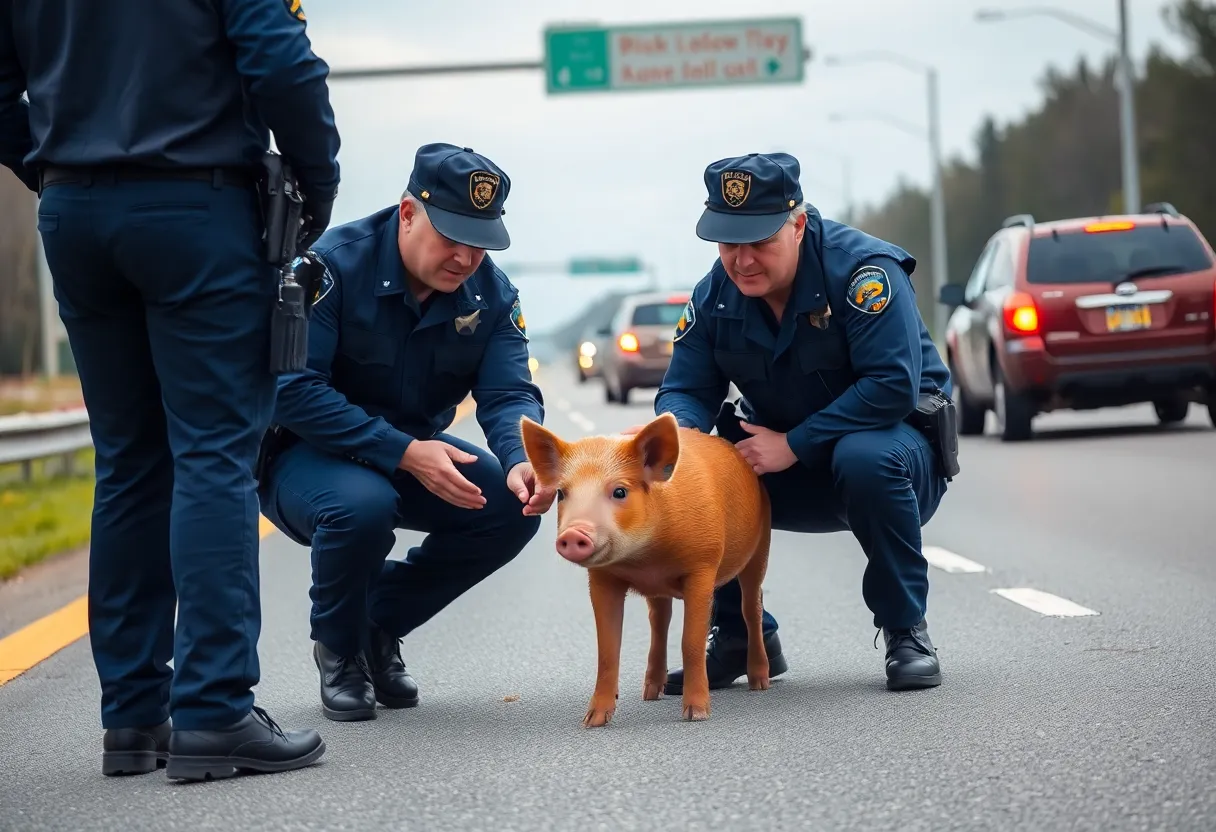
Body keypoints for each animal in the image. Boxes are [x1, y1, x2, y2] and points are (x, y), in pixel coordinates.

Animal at [518, 411, 772, 727]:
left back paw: (760, 683)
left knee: (752, 607)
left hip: (761, 547)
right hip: (660, 592)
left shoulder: (703, 566)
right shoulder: (602, 578)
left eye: (620, 491)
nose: (574, 533)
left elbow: (691, 641)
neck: (646, 560)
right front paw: (592, 721)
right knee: (660, 620)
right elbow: (607, 648)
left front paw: (696, 714)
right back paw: (651, 693)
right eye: (562, 494)